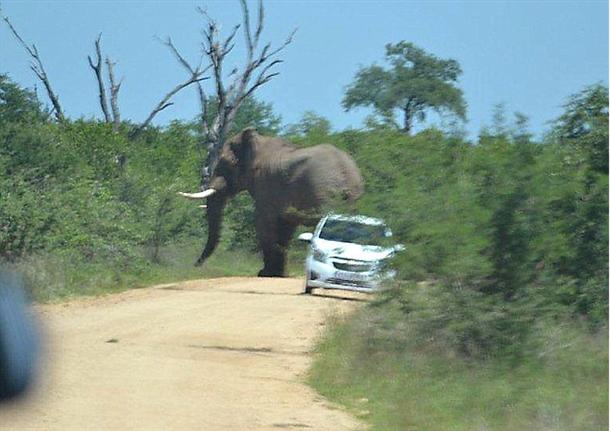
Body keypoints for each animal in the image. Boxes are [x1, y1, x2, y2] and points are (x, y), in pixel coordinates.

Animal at [179, 128, 360, 276]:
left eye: (225, 164)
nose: (195, 266)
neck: (258, 143)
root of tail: (346, 171)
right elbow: (285, 228)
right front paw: (278, 274)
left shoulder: (265, 186)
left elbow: (263, 224)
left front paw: (265, 274)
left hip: (325, 191)